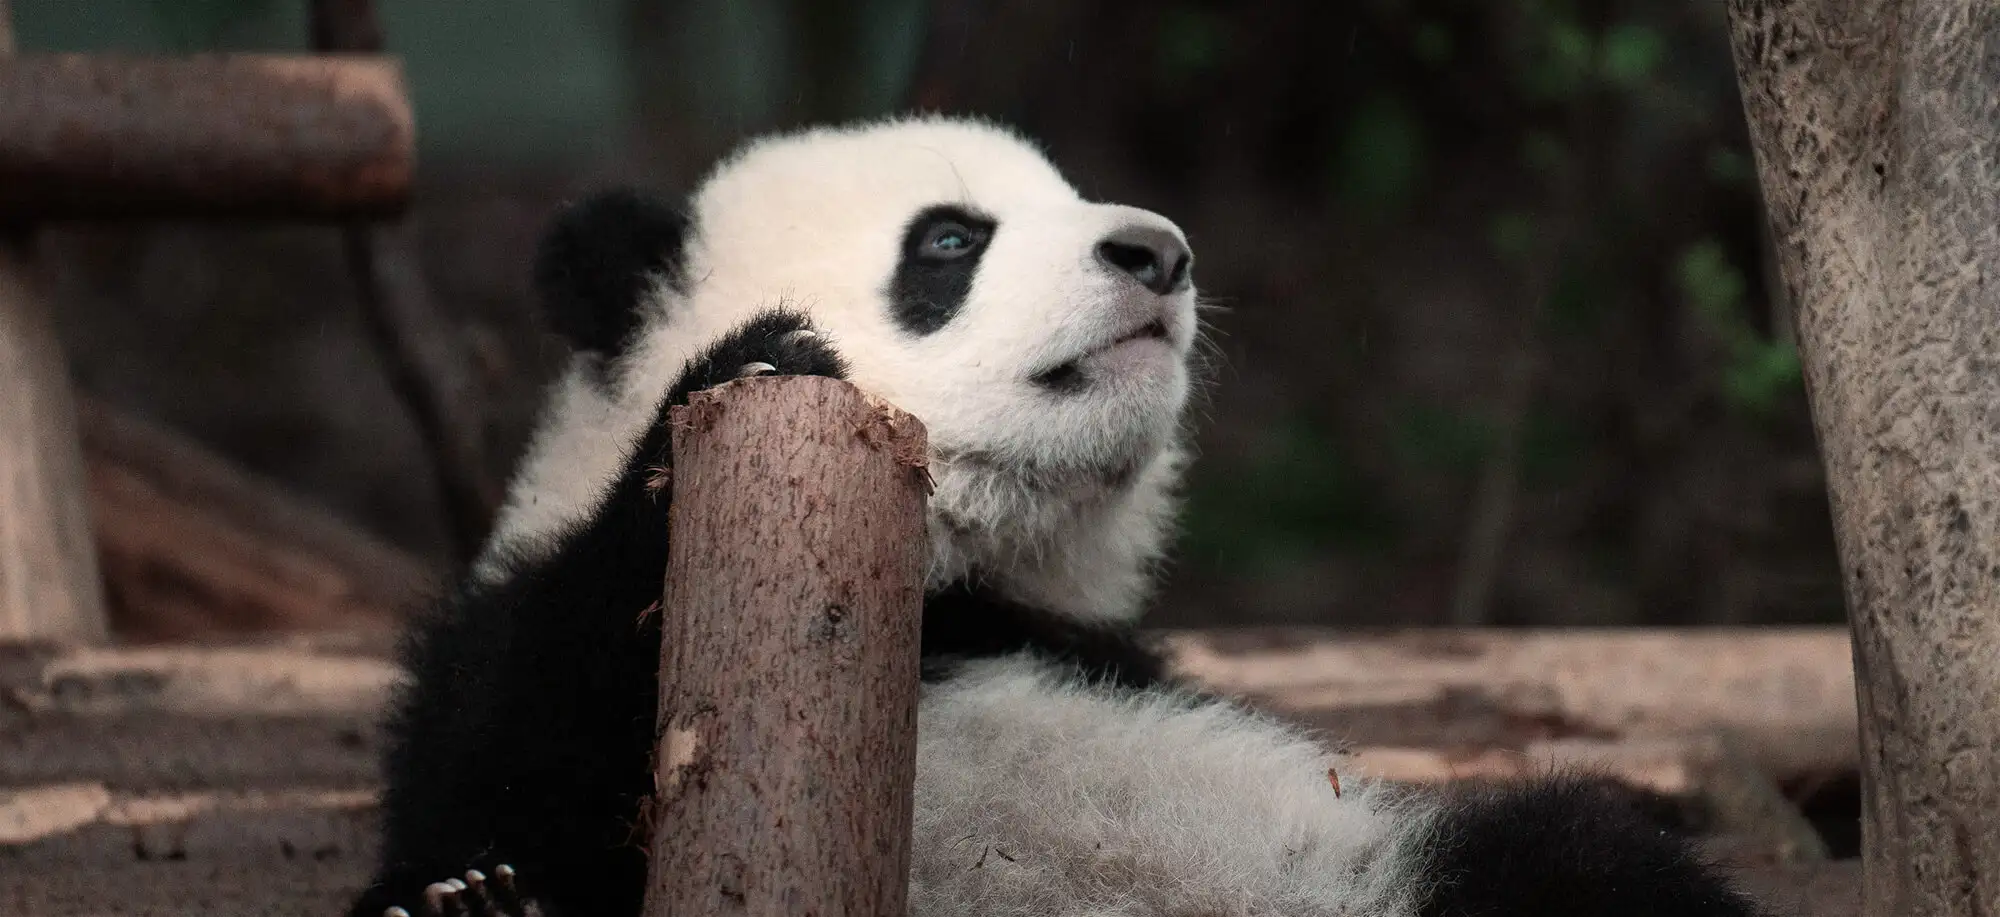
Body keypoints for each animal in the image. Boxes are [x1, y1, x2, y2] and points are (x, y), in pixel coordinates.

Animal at [349, 115, 1765, 917]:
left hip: (1388, 870)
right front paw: (754, 359)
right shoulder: (519, 642)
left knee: (1575, 861)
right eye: (948, 239)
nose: (1158, 252)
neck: (954, 582)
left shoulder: (1099, 653)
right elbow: (497, 749)